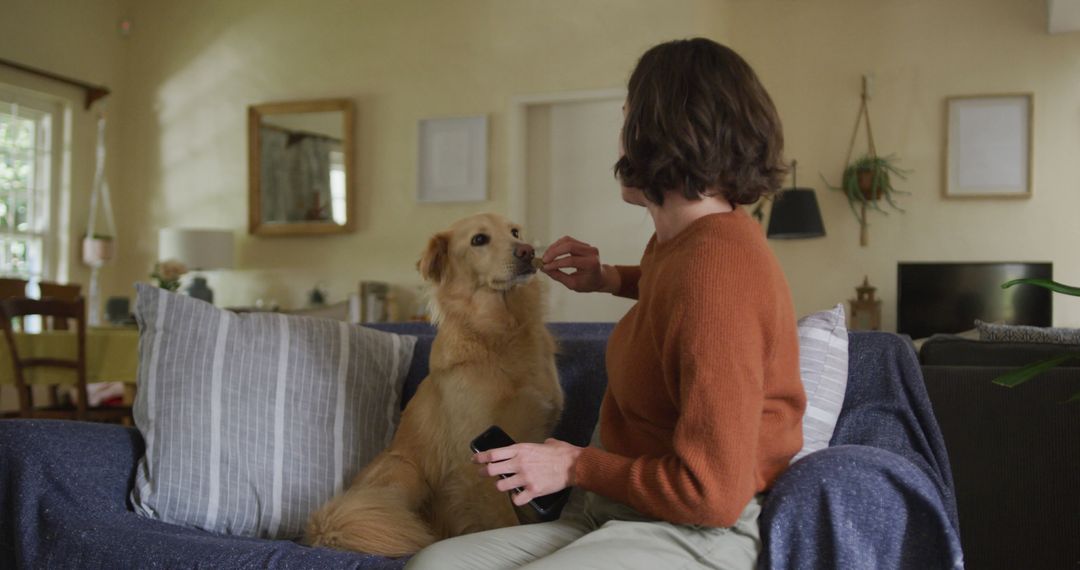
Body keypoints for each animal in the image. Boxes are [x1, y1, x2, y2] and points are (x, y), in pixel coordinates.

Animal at [302, 211, 561, 552]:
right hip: (404, 470)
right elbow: (502, 520)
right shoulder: (476, 462)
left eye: (515, 232)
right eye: (479, 239)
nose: (528, 251)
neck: (499, 334)